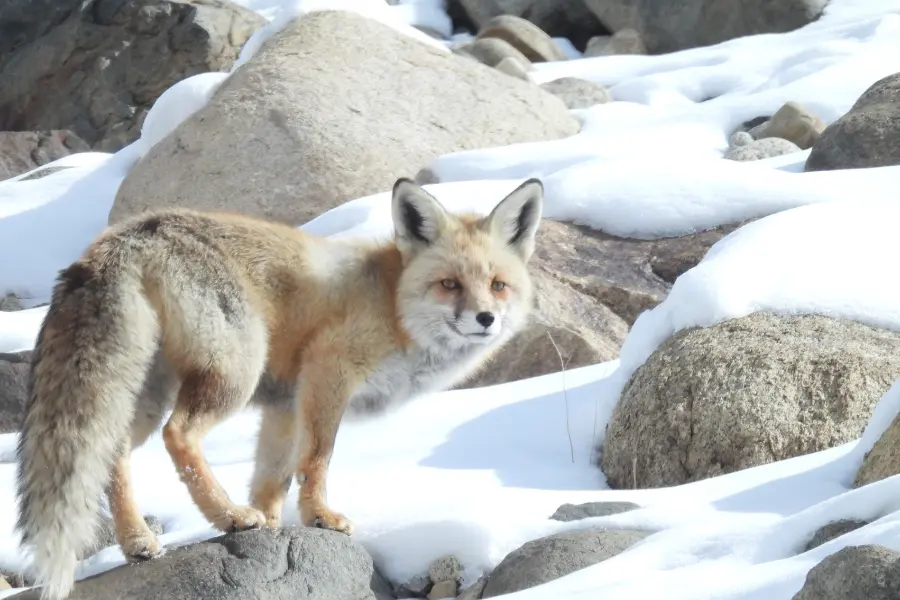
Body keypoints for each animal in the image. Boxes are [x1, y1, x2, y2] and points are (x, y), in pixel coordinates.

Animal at [14, 176, 544, 600]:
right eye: (449, 284)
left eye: (498, 285)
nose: (486, 318)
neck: (393, 304)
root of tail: (128, 235)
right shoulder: (328, 371)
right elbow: (317, 461)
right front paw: (318, 518)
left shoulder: (285, 405)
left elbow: (273, 478)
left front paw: (272, 529)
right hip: (234, 372)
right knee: (178, 435)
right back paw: (228, 516)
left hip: (142, 396)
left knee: (113, 454)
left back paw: (139, 542)